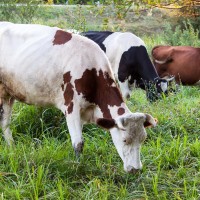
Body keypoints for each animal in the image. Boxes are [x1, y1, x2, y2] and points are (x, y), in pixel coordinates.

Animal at [0, 21, 158, 172]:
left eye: (143, 139)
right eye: (125, 140)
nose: (136, 169)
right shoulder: (71, 106)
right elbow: (78, 143)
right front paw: (78, 165)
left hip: (9, 94)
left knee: (5, 123)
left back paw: (11, 147)